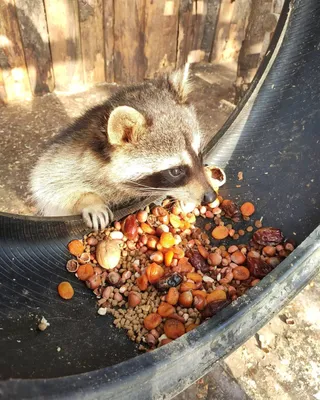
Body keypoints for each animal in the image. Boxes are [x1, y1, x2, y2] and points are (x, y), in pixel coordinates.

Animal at [30, 64, 215, 230]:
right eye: (175, 171)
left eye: (199, 154)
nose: (210, 196)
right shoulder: (66, 155)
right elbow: (49, 186)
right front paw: (90, 200)